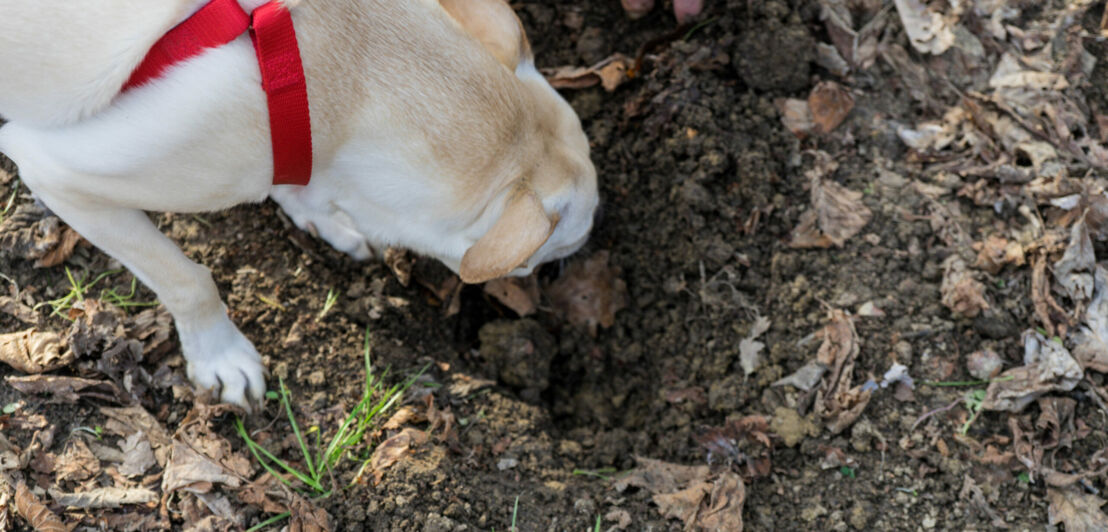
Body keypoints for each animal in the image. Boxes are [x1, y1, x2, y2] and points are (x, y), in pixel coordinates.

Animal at [0, 0, 598, 407]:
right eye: (541, 259)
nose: (541, 304)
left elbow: (299, 185)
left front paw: (324, 217)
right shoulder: (54, 171)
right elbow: (188, 279)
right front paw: (220, 354)